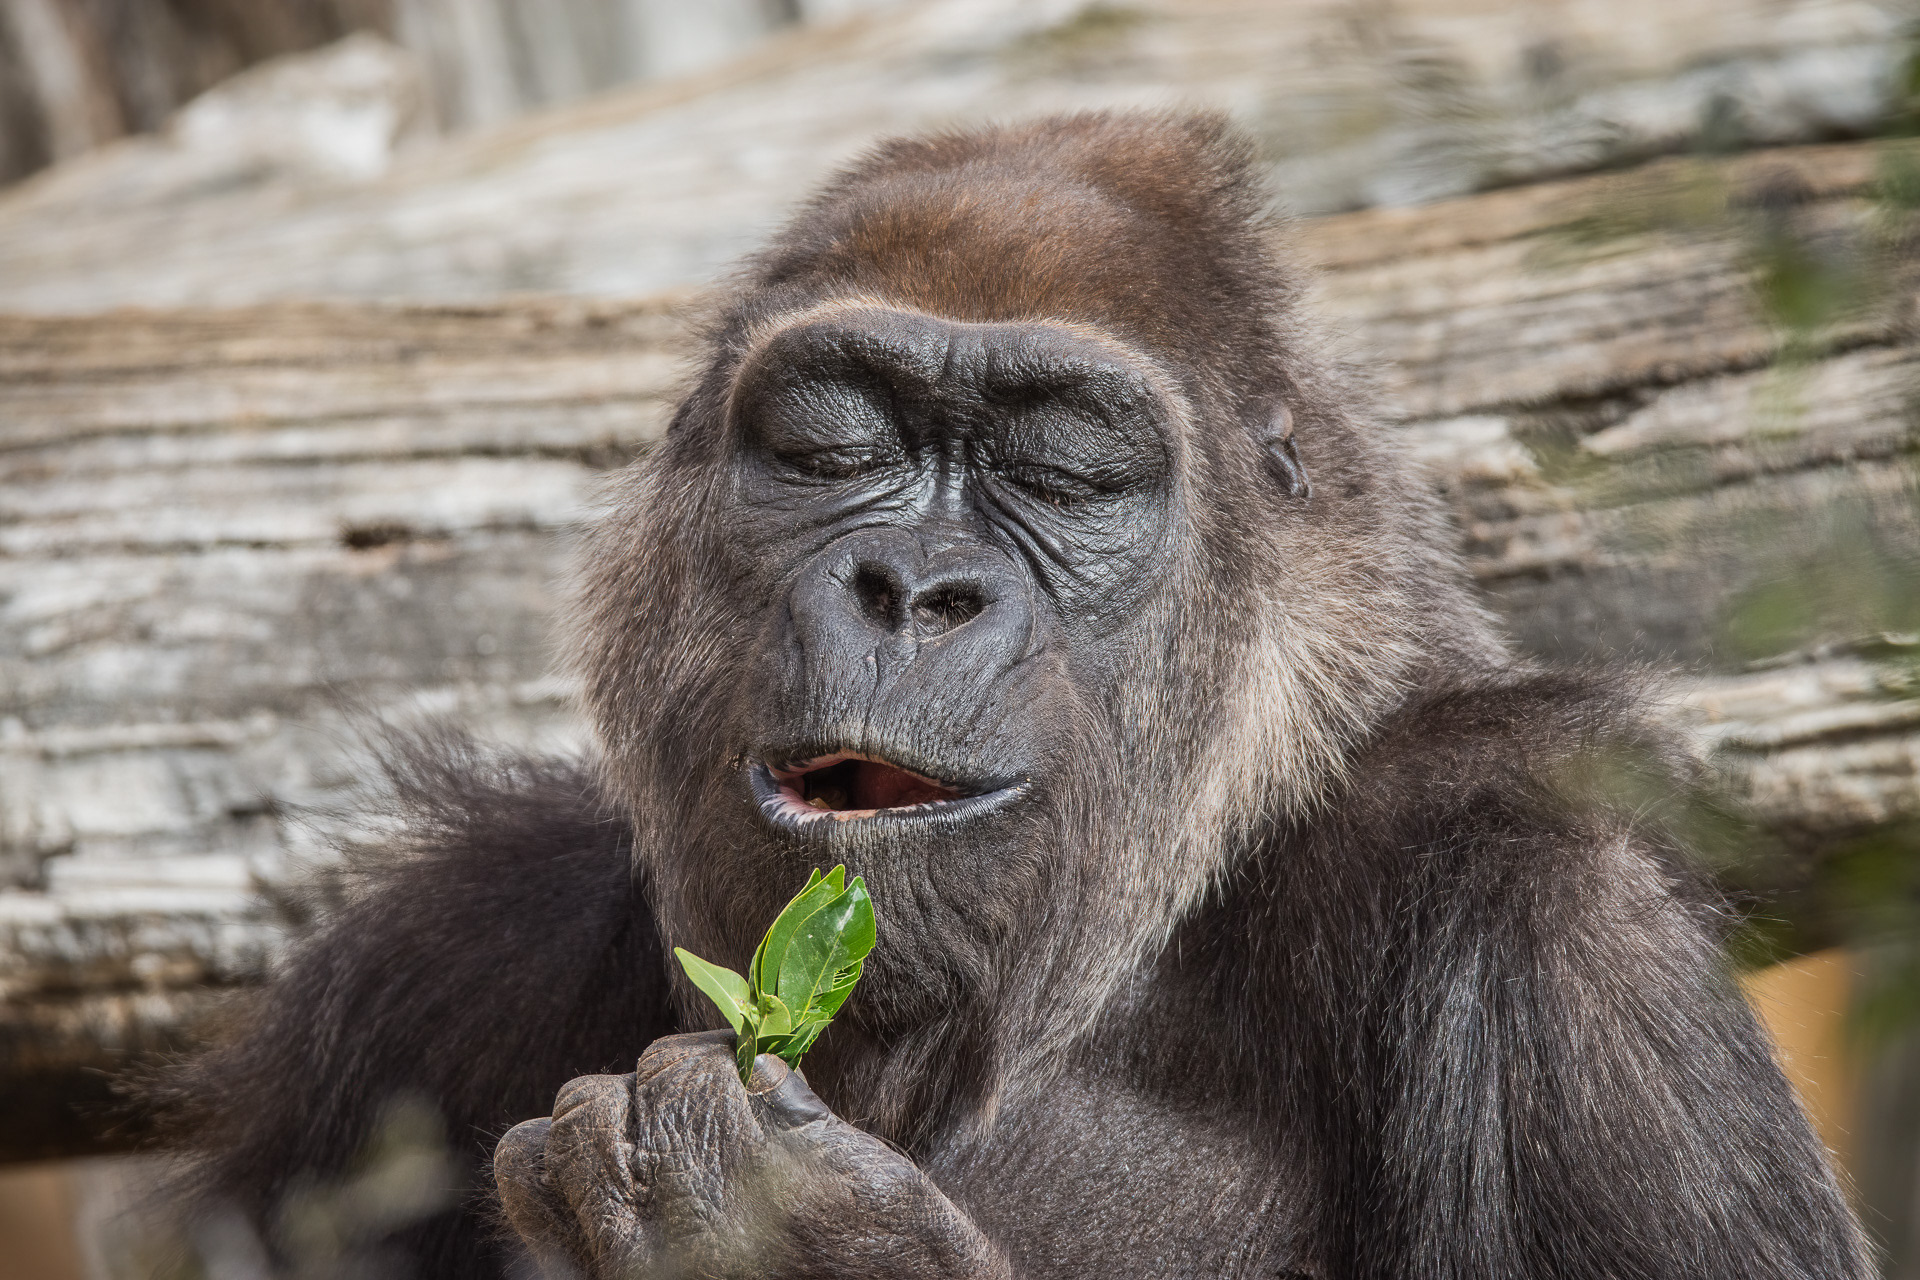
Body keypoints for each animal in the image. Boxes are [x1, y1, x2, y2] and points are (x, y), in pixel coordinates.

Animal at [157, 112, 1872, 1279]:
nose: (916, 590)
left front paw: (803, 1251)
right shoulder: (419, 974)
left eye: (1063, 473)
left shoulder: (1569, 933)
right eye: (833, 447)